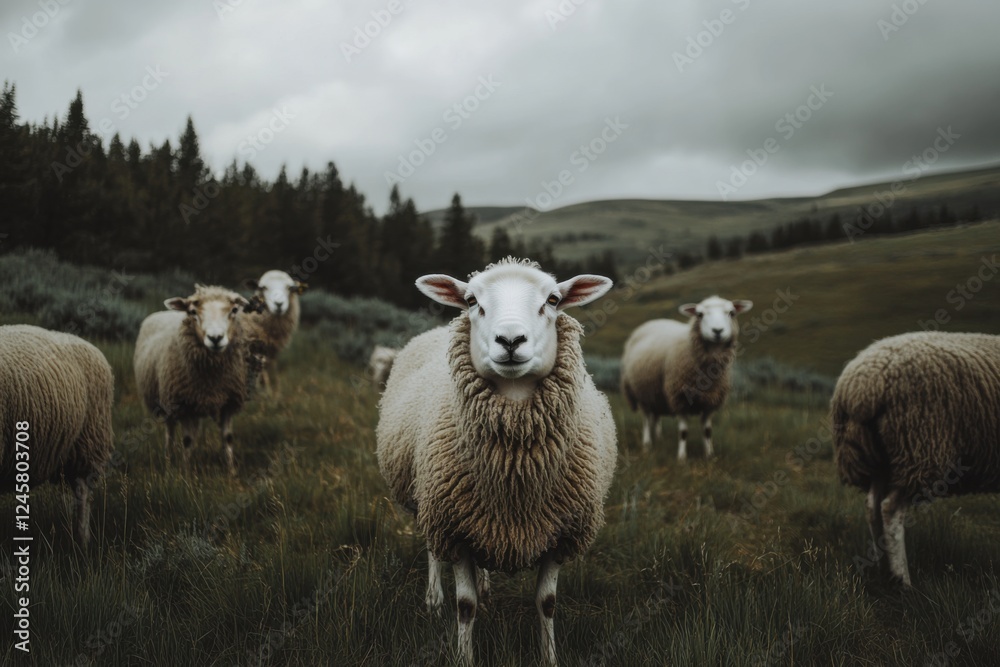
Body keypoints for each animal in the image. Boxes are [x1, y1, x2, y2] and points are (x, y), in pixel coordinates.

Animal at [134, 285, 252, 475]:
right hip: (166, 401)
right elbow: (187, 440)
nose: (215, 338)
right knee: (170, 432)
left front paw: (231, 471)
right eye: (192, 312)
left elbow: (227, 438)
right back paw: (168, 459)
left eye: (234, 310)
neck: (212, 379)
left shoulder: (228, 402)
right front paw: (185, 473)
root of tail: (164, 312)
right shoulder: (184, 404)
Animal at [376, 258, 617, 666]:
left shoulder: (561, 534)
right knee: (431, 550)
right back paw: (433, 598)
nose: (510, 340)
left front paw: (549, 657)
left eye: (553, 299)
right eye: (472, 300)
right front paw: (464, 656)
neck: (515, 474)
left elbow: (547, 603)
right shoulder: (454, 528)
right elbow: (465, 605)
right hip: (429, 500)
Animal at [620, 295, 753, 460]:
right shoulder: (680, 397)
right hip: (641, 392)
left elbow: (707, 431)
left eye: (731, 312)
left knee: (655, 417)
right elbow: (683, 432)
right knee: (646, 419)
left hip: (655, 392)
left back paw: (658, 438)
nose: (717, 331)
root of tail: (653, 321)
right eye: (700, 314)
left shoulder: (710, 401)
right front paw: (682, 458)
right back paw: (647, 444)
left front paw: (709, 455)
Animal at [832, 331, 1000, 587]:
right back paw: (903, 580)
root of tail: (862, 386)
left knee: (872, 505)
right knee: (890, 509)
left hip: (880, 457)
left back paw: (884, 569)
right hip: (918, 447)